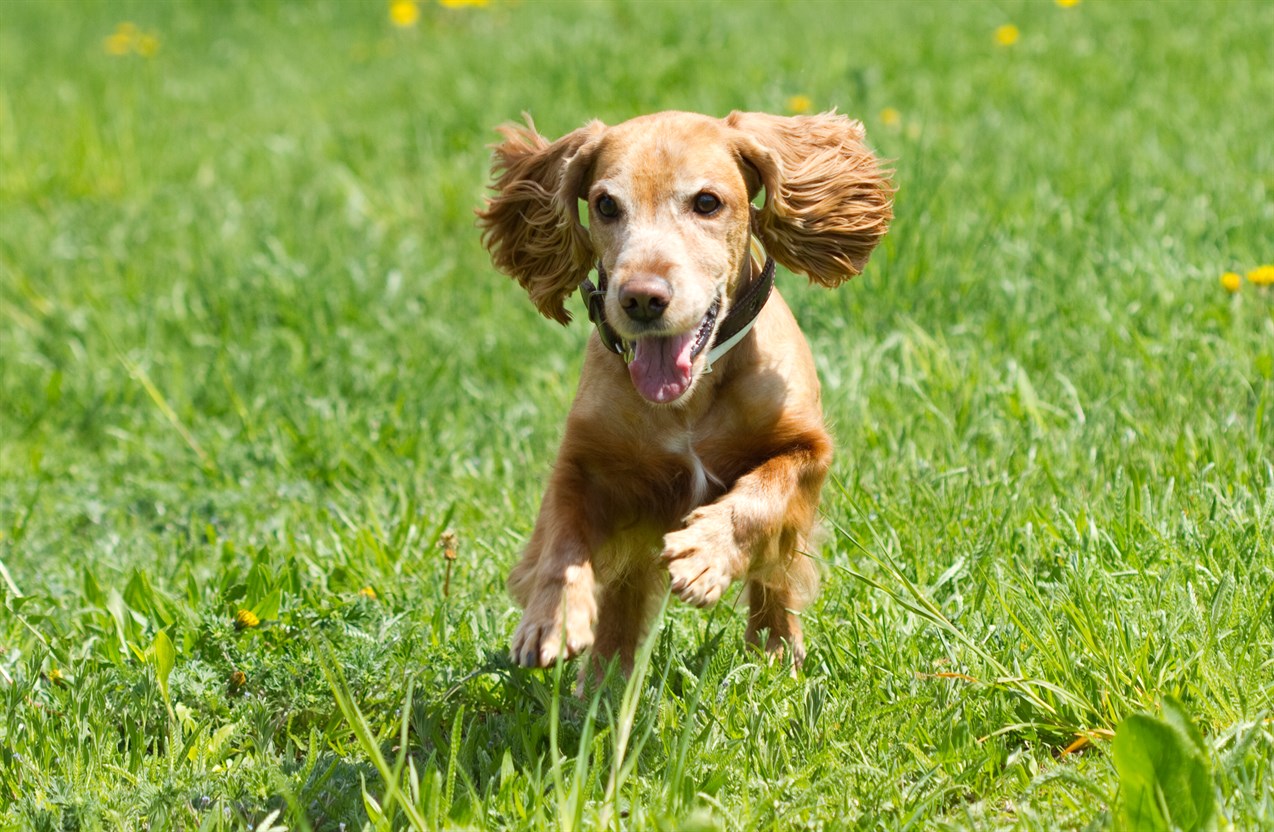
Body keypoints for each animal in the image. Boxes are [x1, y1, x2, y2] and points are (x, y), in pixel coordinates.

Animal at [479, 110, 896, 677]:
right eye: (606, 204)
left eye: (706, 202)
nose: (641, 298)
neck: (690, 398)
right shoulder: (584, 460)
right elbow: (563, 539)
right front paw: (551, 617)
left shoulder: (808, 448)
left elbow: (763, 496)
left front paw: (704, 554)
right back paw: (602, 685)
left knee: (775, 582)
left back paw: (776, 656)